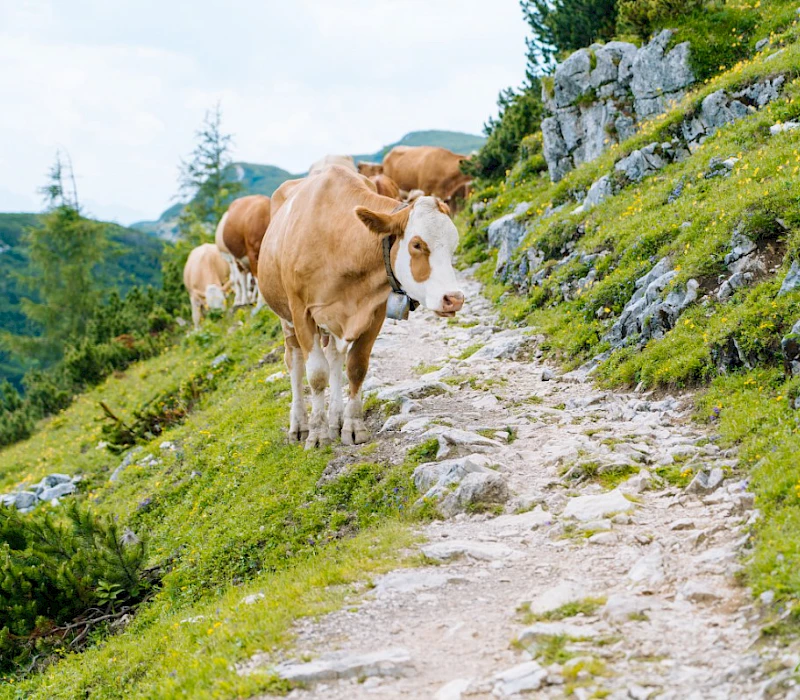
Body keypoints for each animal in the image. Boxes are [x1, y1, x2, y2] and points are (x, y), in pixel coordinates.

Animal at [260, 165, 466, 448]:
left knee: (334, 357)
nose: (454, 298)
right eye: (417, 244)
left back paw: (335, 419)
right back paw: (299, 425)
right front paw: (317, 434)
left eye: (454, 245)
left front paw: (352, 426)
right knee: (294, 362)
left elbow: (356, 367)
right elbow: (316, 375)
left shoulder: (374, 311)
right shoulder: (301, 311)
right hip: (286, 317)